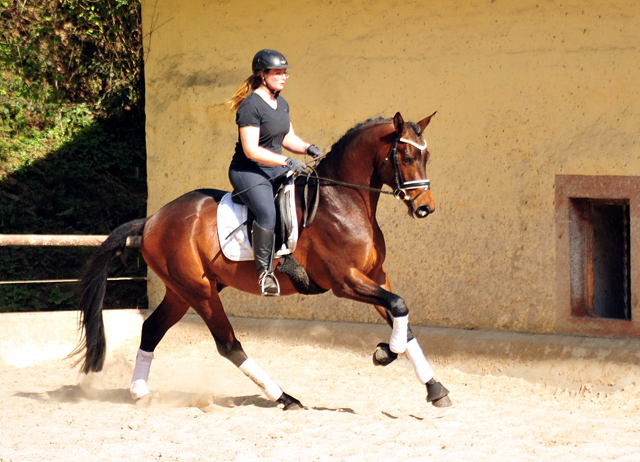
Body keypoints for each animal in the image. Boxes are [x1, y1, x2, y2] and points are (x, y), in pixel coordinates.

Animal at [72, 113, 452, 410]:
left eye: (428, 155)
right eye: (405, 155)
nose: (425, 208)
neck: (343, 200)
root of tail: (152, 220)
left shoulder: (375, 275)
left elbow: (402, 317)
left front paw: (434, 388)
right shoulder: (345, 281)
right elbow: (399, 306)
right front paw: (385, 353)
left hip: (183, 291)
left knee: (152, 329)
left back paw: (140, 392)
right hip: (200, 293)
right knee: (228, 345)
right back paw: (284, 397)